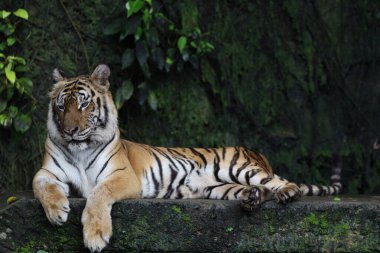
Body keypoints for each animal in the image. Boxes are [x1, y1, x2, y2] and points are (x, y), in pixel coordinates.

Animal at [31, 64, 342, 253]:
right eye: (61, 106)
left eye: (84, 104)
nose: (70, 131)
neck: (80, 149)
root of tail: (257, 152)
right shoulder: (49, 171)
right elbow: (40, 184)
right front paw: (57, 211)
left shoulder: (121, 175)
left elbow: (98, 194)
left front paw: (95, 235)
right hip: (216, 188)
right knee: (259, 190)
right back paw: (252, 198)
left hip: (239, 168)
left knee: (281, 182)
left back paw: (287, 193)